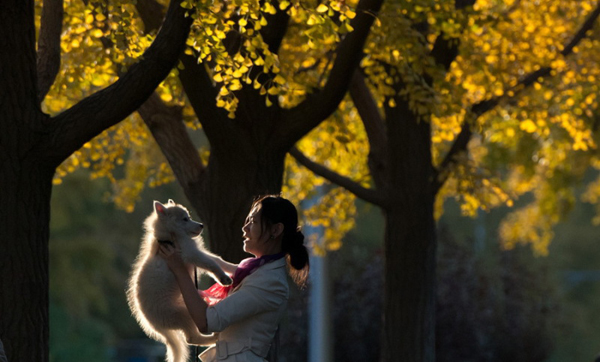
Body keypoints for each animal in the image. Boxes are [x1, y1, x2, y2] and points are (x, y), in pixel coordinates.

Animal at [127, 201, 234, 362]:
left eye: (188, 217)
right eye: (185, 219)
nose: (201, 225)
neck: (171, 236)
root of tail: (152, 324)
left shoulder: (195, 252)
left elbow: (217, 260)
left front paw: (234, 267)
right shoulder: (190, 253)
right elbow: (211, 264)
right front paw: (224, 278)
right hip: (183, 314)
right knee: (192, 338)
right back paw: (213, 338)